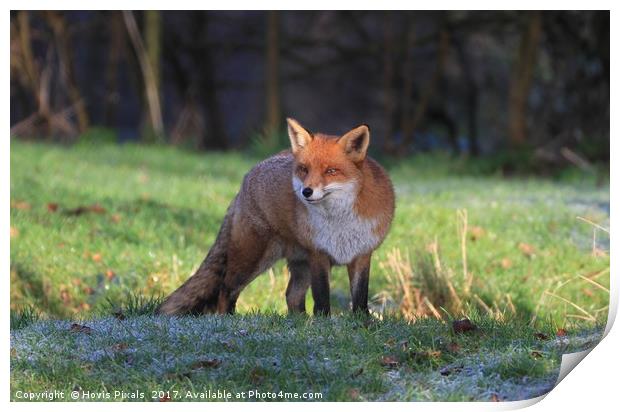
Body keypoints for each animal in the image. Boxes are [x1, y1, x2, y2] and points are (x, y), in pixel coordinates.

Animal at [157, 117, 394, 318]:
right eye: (304, 169)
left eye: (331, 171)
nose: (306, 192)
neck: (339, 223)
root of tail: (246, 179)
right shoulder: (318, 254)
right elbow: (322, 298)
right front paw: (324, 322)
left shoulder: (361, 254)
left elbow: (360, 297)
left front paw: (361, 323)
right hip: (253, 257)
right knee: (227, 288)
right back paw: (228, 319)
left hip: (299, 264)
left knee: (291, 295)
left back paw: (299, 322)